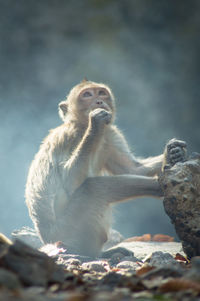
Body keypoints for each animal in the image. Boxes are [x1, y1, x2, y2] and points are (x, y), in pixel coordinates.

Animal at [24, 80, 186, 258]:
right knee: (94, 188)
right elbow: (69, 182)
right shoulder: (69, 136)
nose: (99, 101)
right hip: (67, 231)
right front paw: (95, 125)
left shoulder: (110, 134)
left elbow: (132, 168)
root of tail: (48, 241)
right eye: (87, 95)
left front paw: (172, 154)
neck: (82, 126)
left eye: (101, 93)